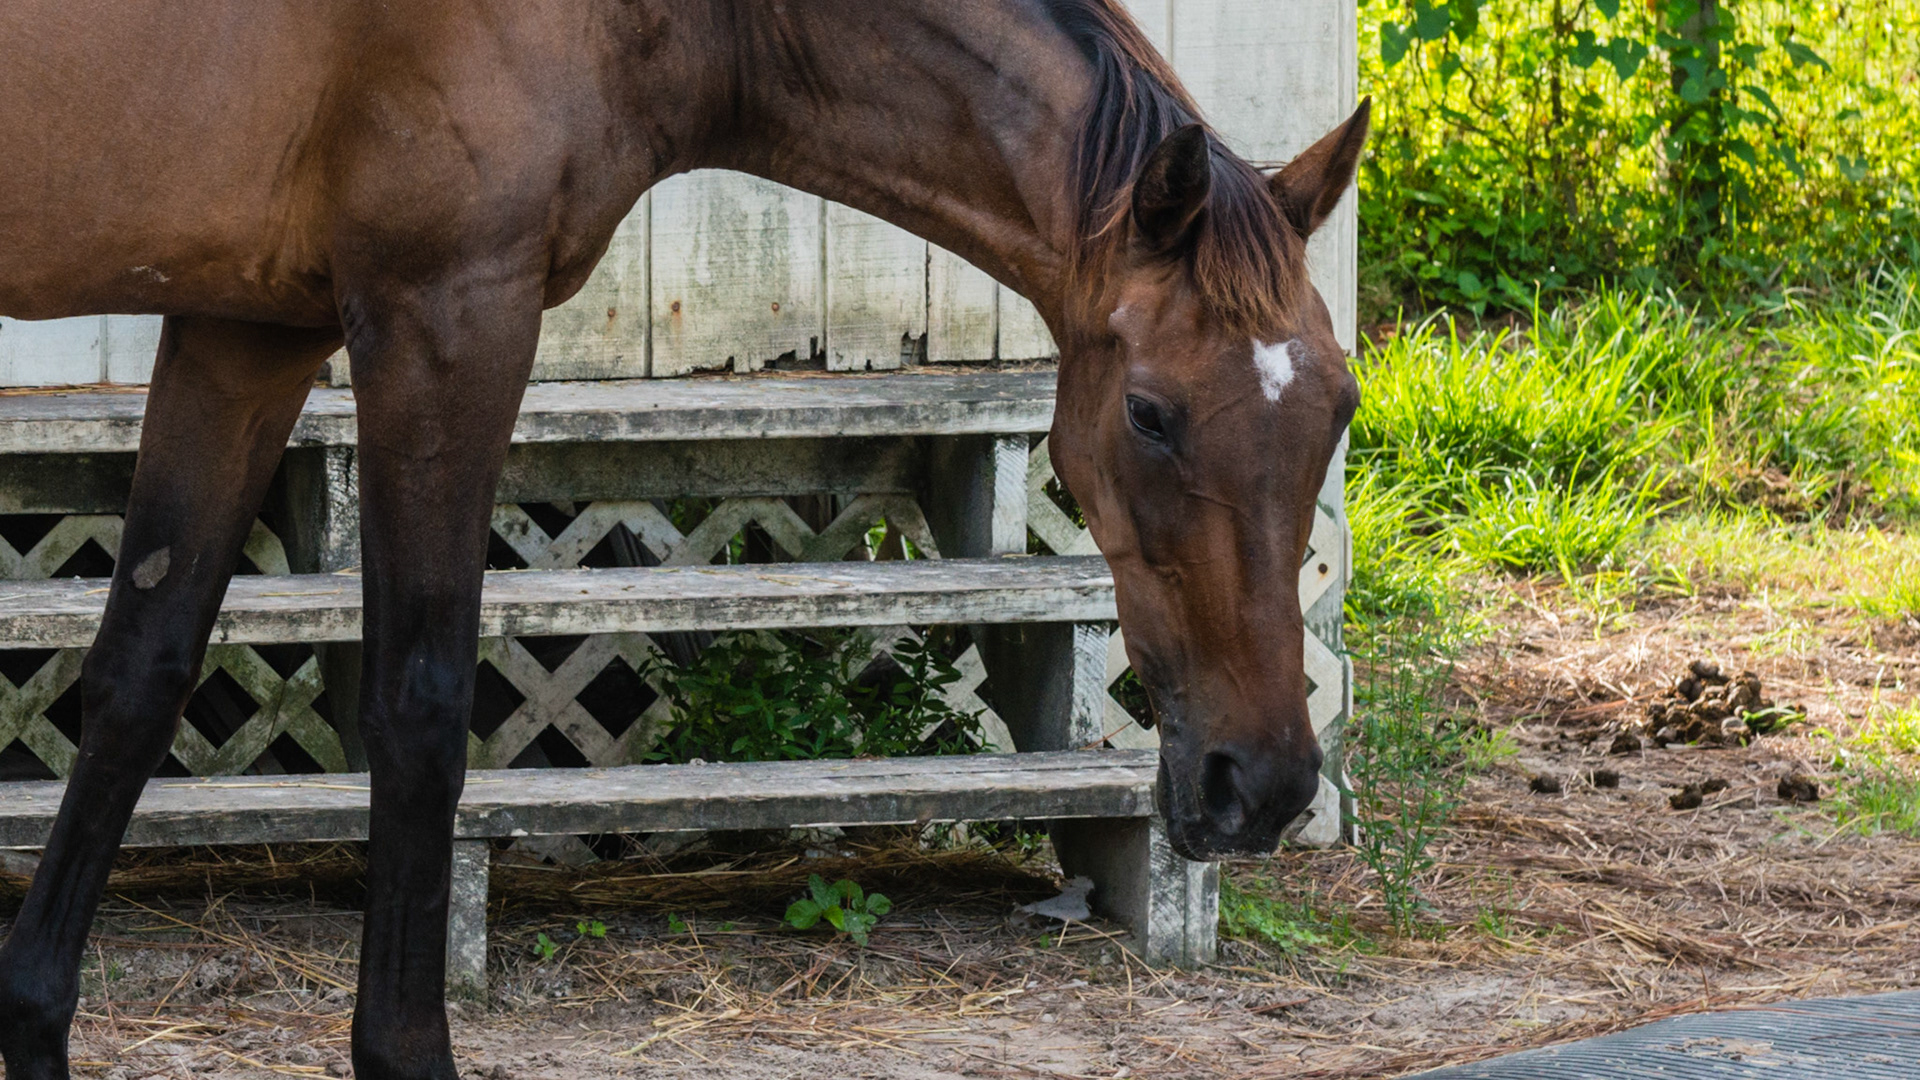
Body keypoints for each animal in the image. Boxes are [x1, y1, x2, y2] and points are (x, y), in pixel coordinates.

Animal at [0, 1, 1365, 1076]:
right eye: (1150, 414)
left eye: (1342, 403)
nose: (1265, 784)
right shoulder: (444, 317)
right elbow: (419, 710)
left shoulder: (247, 326)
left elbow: (136, 679)